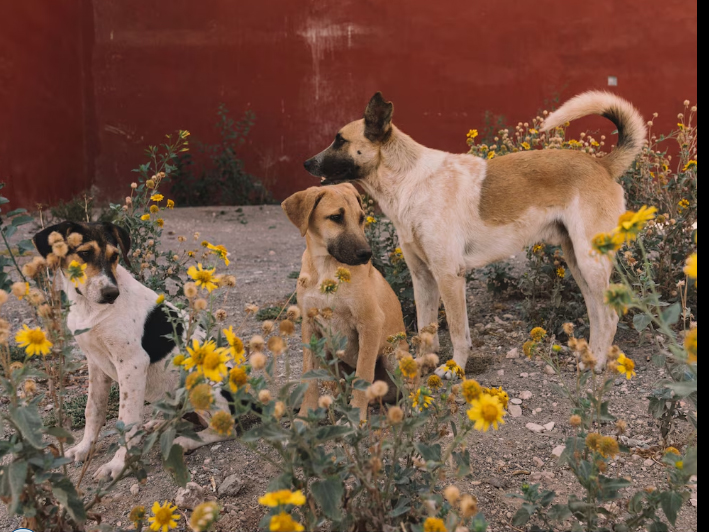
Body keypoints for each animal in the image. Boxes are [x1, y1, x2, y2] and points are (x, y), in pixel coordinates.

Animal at [33, 221, 232, 480]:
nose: (111, 294)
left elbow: (126, 420)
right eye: (84, 253)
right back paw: (159, 425)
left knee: (226, 428)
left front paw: (117, 465)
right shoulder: (95, 363)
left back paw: (187, 441)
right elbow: (93, 410)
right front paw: (84, 448)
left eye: (114, 256)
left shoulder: (132, 363)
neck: (89, 308)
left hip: (204, 388)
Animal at [282, 184, 405, 420]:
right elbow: (308, 376)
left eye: (361, 218)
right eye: (336, 217)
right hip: (329, 356)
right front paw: (305, 416)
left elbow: (363, 375)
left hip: (393, 355)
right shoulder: (309, 326)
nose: (367, 254)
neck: (326, 269)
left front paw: (357, 419)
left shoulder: (370, 323)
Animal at [303, 91, 646, 375]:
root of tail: (601, 165)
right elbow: (426, 331)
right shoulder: (423, 278)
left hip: (590, 262)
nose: (307, 163)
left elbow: (457, 332)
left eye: (339, 140)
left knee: (610, 316)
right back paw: (590, 358)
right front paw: (420, 367)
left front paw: (454, 368)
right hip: (578, 262)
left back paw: (598, 364)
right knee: (597, 313)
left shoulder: (449, 276)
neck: (411, 182)